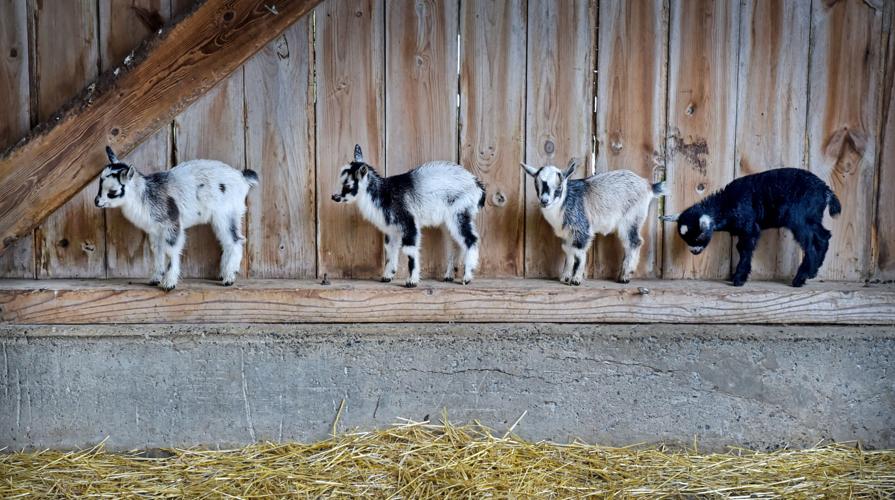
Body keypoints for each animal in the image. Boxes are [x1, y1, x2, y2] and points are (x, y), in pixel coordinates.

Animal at [94, 146, 258, 290]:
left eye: (113, 191)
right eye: (99, 184)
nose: (97, 202)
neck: (145, 194)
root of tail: (241, 176)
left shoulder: (171, 223)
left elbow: (170, 250)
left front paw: (169, 283)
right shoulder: (156, 230)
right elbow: (158, 251)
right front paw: (155, 278)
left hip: (226, 213)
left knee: (235, 240)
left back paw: (229, 277)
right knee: (228, 241)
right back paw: (224, 273)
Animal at [332, 144, 485, 287]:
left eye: (348, 186)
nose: (334, 197)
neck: (384, 193)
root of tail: (477, 184)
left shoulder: (408, 222)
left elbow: (409, 249)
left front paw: (411, 281)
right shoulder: (392, 230)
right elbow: (390, 249)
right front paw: (387, 276)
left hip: (459, 212)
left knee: (470, 239)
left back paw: (467, 277)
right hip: (447, 222)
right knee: (454, 244)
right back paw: (448, 276)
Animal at [522, 159, 665, 285]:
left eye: (559, 186)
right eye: (536, 184)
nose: (544, 201)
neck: (565, 201)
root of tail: (648, 185)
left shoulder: (581, 228)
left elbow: (578, 253)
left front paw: (576, 279)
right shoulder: (567, 233)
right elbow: (568, 251)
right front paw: (565, 277)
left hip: (631, 217)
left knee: (634, 242)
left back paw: (625, 276)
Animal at [660, 167, 841, 287]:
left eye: (698, 236)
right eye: (685, 239)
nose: (694, 251)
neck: (726, 204)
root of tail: (825, 190)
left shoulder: (749, 226)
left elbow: (744, 248)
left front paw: (738, 278)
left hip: (799, 217)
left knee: (809, 244)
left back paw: (800, 278)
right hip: (813, 216)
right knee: (823, 236)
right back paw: (813, 270)